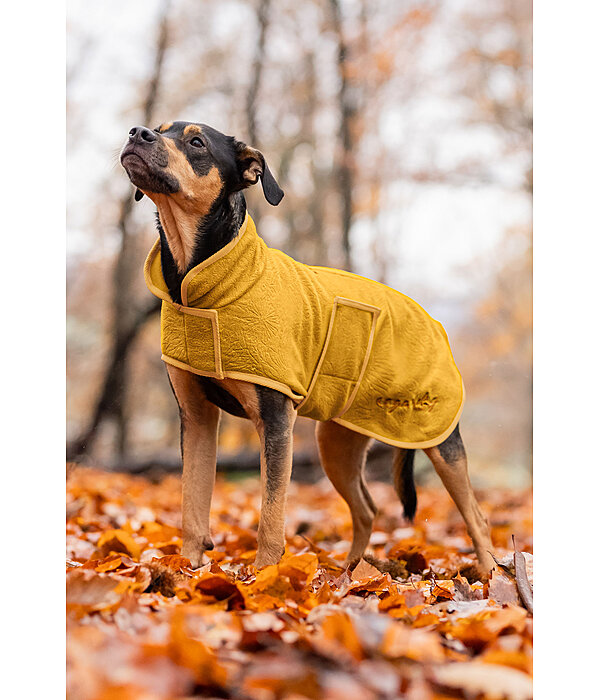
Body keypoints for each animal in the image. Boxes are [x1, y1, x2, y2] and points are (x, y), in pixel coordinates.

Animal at [119, 121, 494, 576]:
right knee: (367, 509)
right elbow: (192, 501)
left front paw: (263, 574)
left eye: (196, 142)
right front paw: (186, 569)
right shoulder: (196, 416)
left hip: (438, 436)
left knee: (476, 515)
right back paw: (351, 573)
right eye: (159, 129)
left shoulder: (275, 419)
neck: (200, 278)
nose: (137, 133)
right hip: (336, 444)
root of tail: (433, 321)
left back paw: (492, 575)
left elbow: (270, 513)